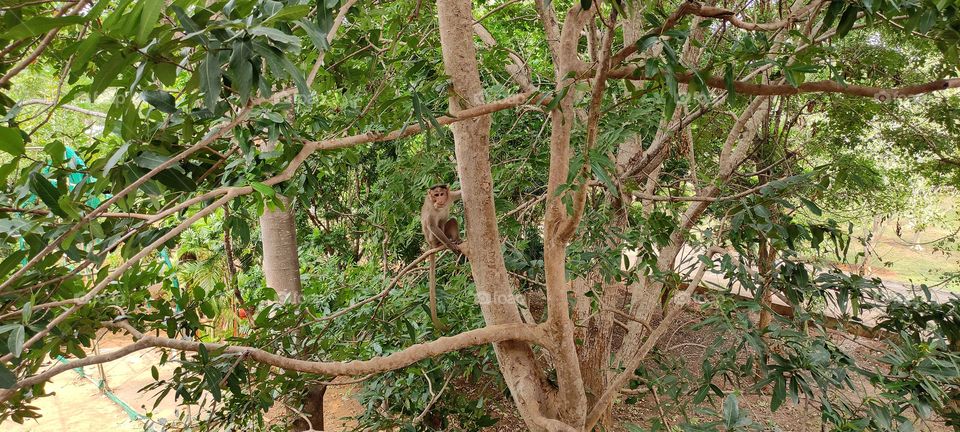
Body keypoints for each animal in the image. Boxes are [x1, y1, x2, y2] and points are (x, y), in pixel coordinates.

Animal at [421, 184, 462, 330]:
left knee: (451, 221)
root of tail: (429, 245)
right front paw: (450, 245)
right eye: (436, 195)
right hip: (433, 239)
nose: (439, 199)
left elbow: (460, 193)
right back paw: (445, 244)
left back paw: (456, 239)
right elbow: (432, 225)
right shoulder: (430, 207)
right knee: (434, 228)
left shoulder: (451, 196)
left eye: (442, 194)